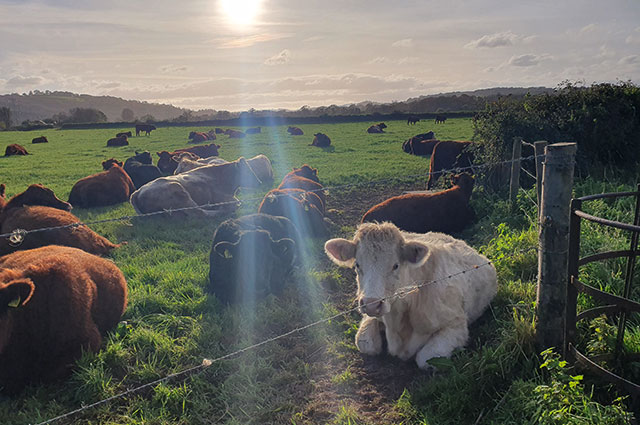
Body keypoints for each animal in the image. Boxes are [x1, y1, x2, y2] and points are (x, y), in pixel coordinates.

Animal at [324, 220, 496, 370]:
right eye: (357, 265)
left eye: (396, 265)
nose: (372, 304)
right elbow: (365, 343)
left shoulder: (457, 324)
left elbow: (426, 358)